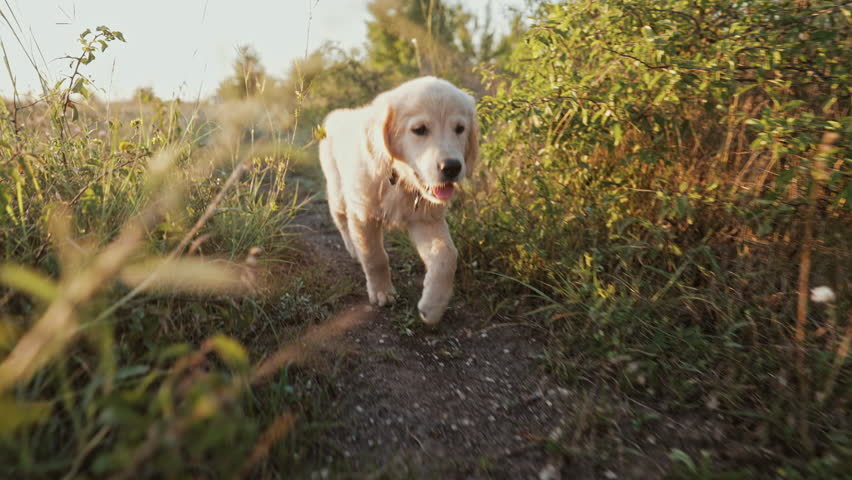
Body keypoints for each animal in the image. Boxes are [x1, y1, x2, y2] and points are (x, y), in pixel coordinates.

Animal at [320, 77, 480, 324]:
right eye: (419, 130)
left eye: (460, 129)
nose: (452, 167)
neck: (398, 177)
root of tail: (337, 116)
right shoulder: (364, 214)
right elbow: (375, 256)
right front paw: (382, 292)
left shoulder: (426, 219)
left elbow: (447, 256)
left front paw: (433, 306)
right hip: (338, 191)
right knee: (341, 220)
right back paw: (353, 248)